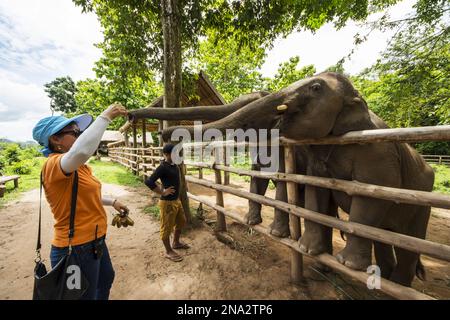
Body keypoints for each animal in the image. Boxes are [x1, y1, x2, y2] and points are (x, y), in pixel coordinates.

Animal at [160, 72, 434, 288]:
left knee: (409, 244)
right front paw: (253, 223)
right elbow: (261, 178)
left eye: (316, 88)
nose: (164, 135)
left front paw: (278, 234)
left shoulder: (376, 153)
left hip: (422, 203)